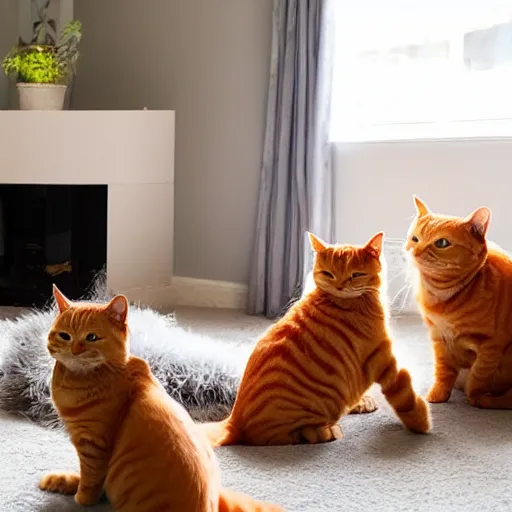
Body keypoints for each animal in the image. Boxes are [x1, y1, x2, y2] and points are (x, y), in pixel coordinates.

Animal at [39, 286, 284, 510]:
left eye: (92, 338)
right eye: (65, 336)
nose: (75, 349)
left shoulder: (93, 445)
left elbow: (91, 479)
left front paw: (81, 498)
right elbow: (90, 477)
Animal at [200, 230, 432, 446]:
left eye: (356, 274)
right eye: (328, 274)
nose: (340, 286)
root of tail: (234, 420)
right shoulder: (382, 358)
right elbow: (404, 394)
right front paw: (421, 423)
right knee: (285, 436)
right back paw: (325, 431)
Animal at [408, 194, 512, 410]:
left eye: (441, 243)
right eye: (415, 239)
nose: (415, 252)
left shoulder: (491, 346)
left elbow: (478, 377)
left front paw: (476, 399)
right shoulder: (438, 338)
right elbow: (443, 372)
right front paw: (437, 396)